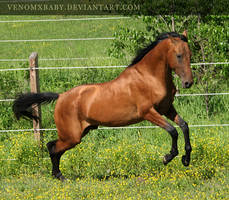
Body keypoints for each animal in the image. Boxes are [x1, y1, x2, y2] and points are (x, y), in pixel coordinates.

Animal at [12, 30, 193, 180]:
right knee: (52, 147)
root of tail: (61, 96)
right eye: (178, 55)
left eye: (190, 54)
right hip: (72, 136)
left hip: (79, 133)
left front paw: (186, 159)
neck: (149, 77)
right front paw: (167, 158)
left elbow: (184, 125)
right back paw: (60, 176)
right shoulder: (148, 112)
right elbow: (172, 131)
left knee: (53, 147)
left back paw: (58, 175)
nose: (188, 83)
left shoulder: (167, 109)